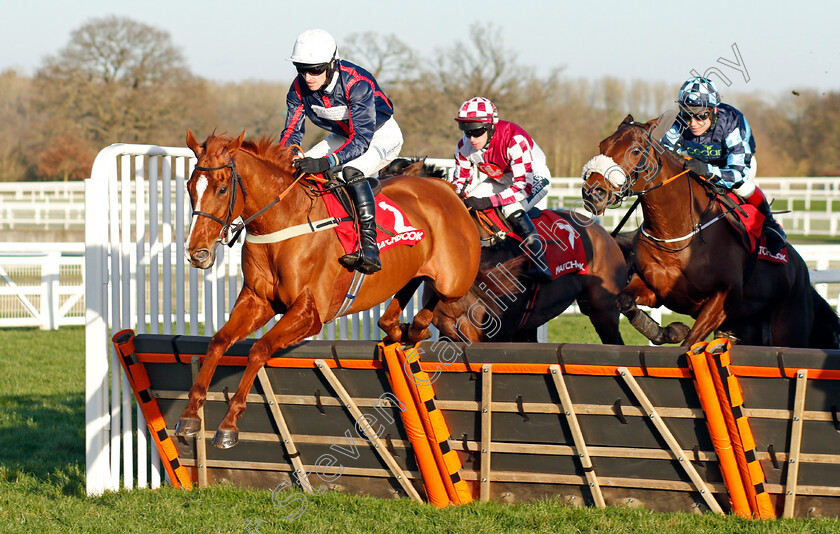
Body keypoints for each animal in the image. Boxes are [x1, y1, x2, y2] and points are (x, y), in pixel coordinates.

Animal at [176, 132, 480, 450]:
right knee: (404, 295)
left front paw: (229, 424)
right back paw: (399, 328)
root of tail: (446, 189)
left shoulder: (310, 313)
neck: (283, 221)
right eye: (190, 187)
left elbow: (259, 349)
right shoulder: (257, 301)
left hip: (454, 280)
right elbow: (218, 342)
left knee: (439, 299)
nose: (196, 253)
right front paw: (189, 415)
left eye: (222, 189)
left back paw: (417, 327)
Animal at [584, 113, 840, 350]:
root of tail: (802, 270)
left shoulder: (721, 300)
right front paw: (667, 331)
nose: (593, 193)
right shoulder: (655, 289)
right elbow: (624, 301)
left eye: (635, 151)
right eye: (602, 145)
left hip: (789, 329)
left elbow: (690, 344)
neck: (677, 236)